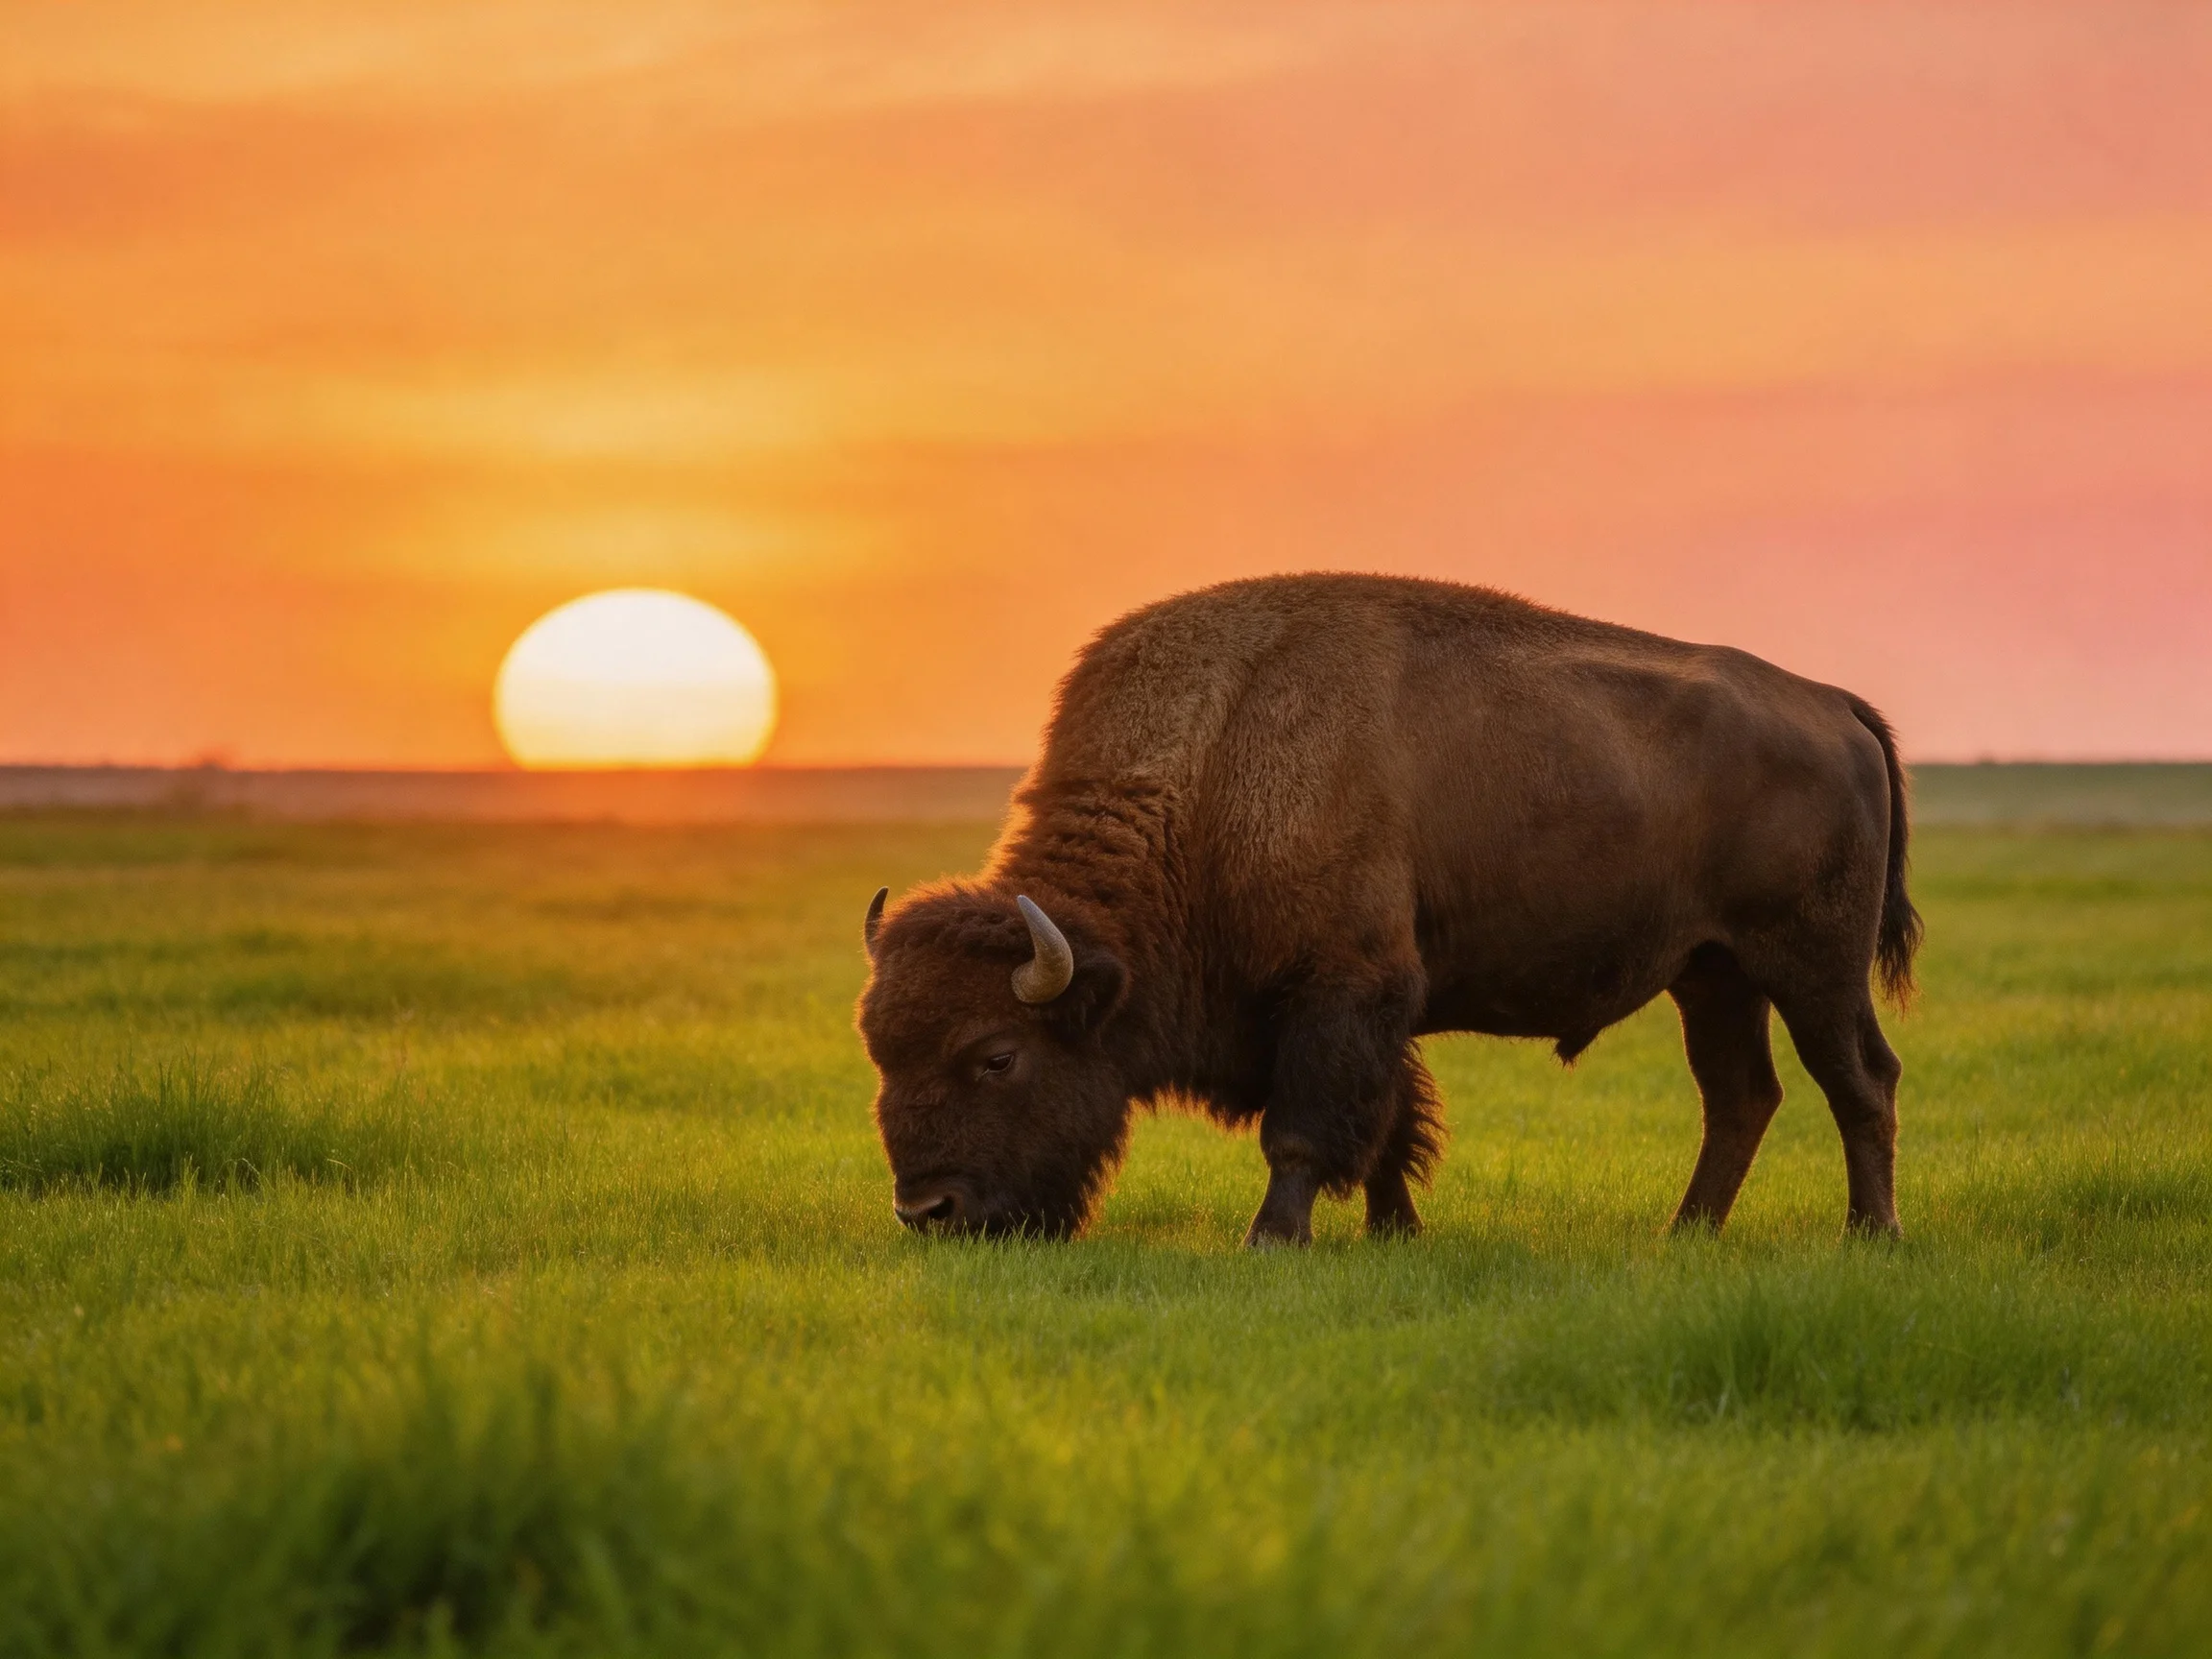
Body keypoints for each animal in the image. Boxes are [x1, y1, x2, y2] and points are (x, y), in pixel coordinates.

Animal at [858, 573, 1921, 1245]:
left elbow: (1310, 1129)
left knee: (1858, 1080)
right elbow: (1386, 1128)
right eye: (881, 1053)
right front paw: (1394, 1232)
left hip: (1811, 967)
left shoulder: (1342, 992)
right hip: (1713, 976)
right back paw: (1685, 1234)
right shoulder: (1358, 1007)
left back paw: (1868, 1237)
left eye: (997, 1055)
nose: (927, 1214)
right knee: (1741, 1096)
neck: (1215, 764)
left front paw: (1272, 1240)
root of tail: (1832, 704)